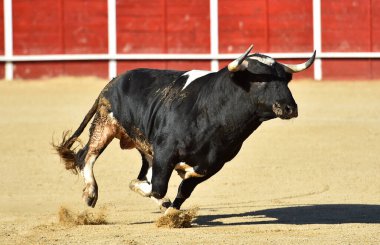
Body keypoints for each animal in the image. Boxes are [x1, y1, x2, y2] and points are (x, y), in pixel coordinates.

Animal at [53, 45, 314, 214]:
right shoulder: (165, 152)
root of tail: (114, 80)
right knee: (87, 155)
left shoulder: (214, 163)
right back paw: (91, 194)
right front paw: (156, 198)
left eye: (286, 80)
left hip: (143, 146)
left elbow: (184, 188)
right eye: (260, 79)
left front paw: (172, 212)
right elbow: (158, 187)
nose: (289, 107)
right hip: (106, 123)